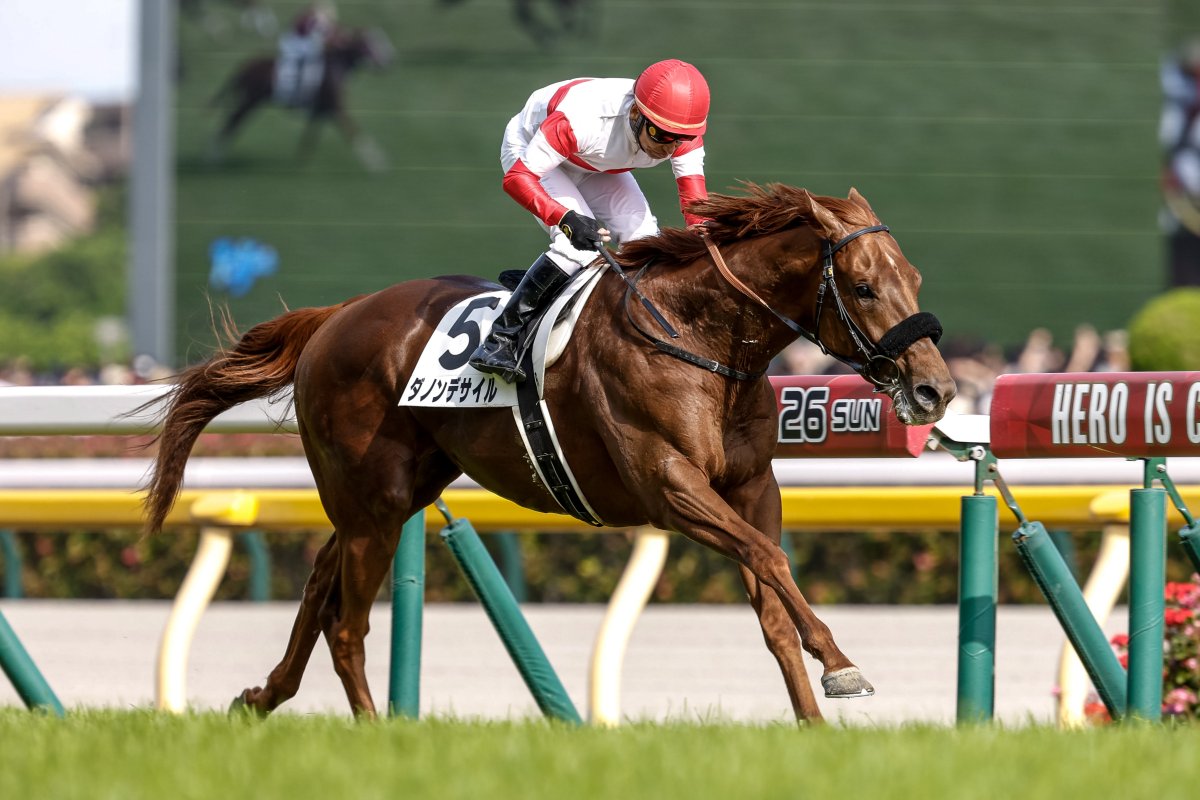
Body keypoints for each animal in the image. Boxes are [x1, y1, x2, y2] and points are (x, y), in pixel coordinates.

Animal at [142, 183, 955, 723]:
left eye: (915, 278)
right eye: (862, 285)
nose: (936, 390)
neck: (701, 335)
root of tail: (336, 316)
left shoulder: (751, 487)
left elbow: (771, 592)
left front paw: (814, 725)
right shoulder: (669, 486)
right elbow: (769, 559)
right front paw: (841, 664)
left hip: (391, 493)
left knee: (319, 581)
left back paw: (264, 695)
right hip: (373, 502)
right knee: (347, 623)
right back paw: (374, 733)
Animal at [208, 27, 395, 172]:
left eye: (381, 41)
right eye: (369, 43)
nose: (388, 62)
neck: (337, 65)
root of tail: (243, 67)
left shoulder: (321, 111)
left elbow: (309, 137)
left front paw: (301, 164)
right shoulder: (336, 109)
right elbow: (354, 132)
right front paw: (377, 163)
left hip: (249, 102)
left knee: (231, 124)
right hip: (249, 102)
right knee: (230, 124)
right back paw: (212, 159)